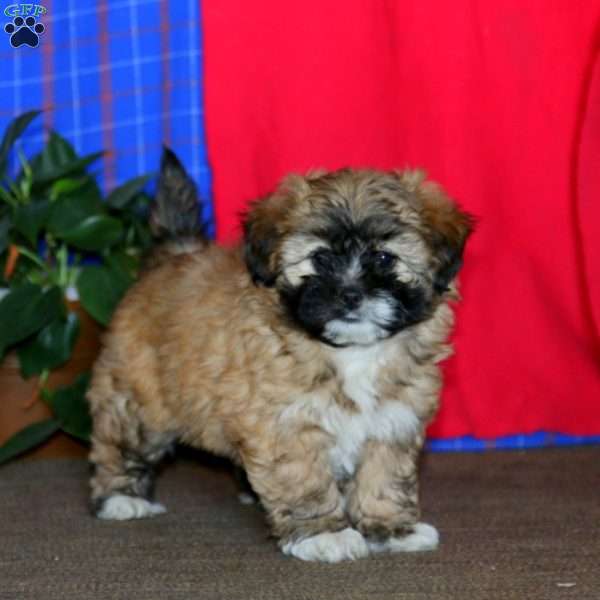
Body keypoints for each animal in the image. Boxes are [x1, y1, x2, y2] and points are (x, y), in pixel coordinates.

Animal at [89, 150, 474, 564]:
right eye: (320, 259)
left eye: (385, 258)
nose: (350, 294)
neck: (350, 351)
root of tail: (171, 257)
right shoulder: (287, 424)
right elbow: (304, 478)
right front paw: (323, 535)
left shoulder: (393, 420)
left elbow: (383, 476)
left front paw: (390, 529)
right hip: (141, 396)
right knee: (120, 440)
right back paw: (120, 498)